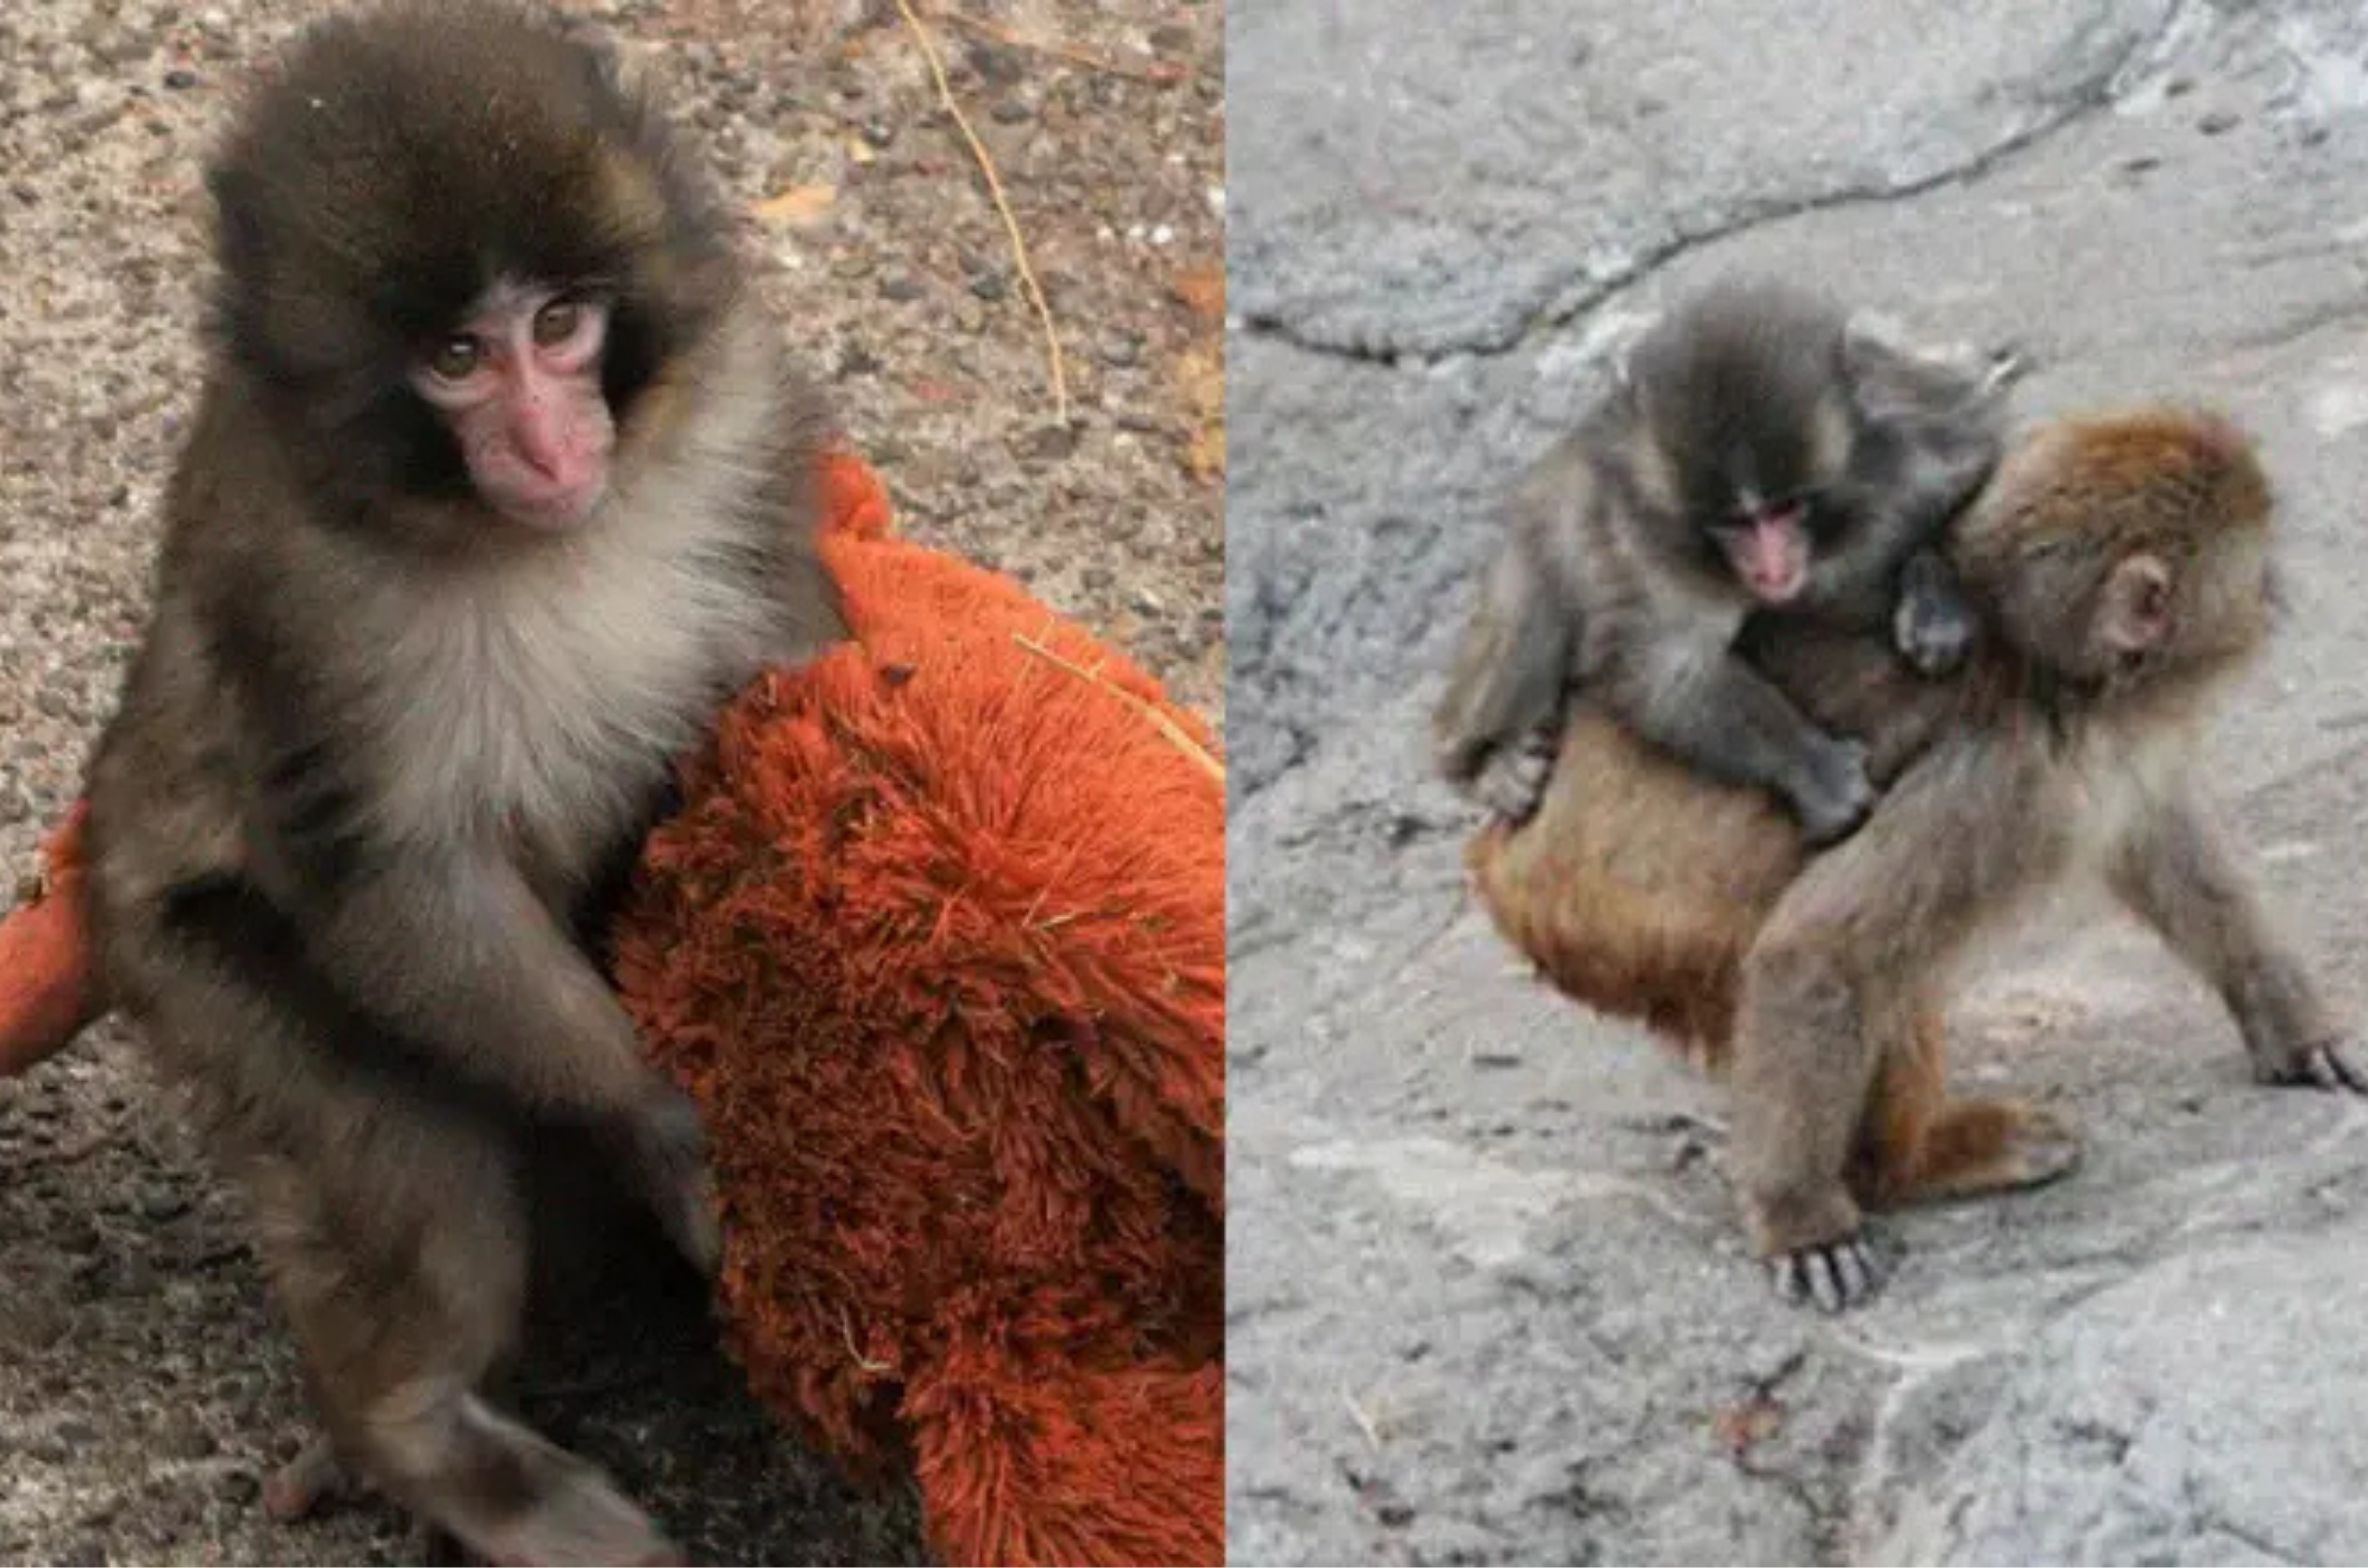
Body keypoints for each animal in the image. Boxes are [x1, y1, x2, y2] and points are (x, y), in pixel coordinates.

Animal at [78, 4, 845, 1560]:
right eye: (453, 356)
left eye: (557, 326)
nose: (551, 443)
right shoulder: (293, 586)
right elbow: (392, 878)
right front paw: (658, 1118)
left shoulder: (733, 409)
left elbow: (786, 654)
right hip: (192, 974)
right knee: (413, 1160)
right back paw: (420, 1435)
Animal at [1431, 275, 2014, 841]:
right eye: (1736, 525)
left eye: (1785, 509)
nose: (1771, 569)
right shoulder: (1649, 545)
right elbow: (1667, 669)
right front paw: (1813, 769)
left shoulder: (1917, 423)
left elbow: (1975, 462)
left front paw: (1932, 595)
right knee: (1530, 612)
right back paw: (1483, 762)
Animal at [1465, 408, 2363, 1312]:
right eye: (2253, 567)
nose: (2278, 593)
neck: (2045, 663)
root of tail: (1500, 852)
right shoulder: (2005, 780)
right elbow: (1814, 951)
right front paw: (1801, 1221)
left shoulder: (2100, 747)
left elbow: (2158, 834)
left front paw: (2290, 1021)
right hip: (1623, 923)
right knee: (1866, 971)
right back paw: (1911, 1165)